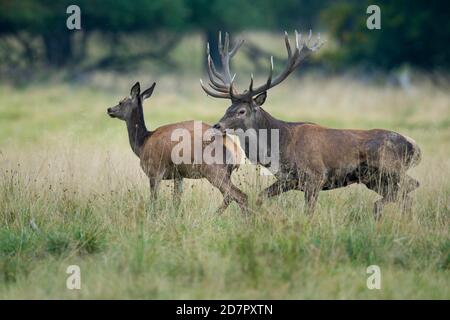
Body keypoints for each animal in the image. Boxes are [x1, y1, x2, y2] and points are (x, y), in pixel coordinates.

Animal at [107, 82, 248, 212]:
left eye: (121, 102)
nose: (109, 109)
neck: (142, 143)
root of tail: (237, 153)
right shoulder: (179, 175)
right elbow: (177, 200)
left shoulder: (155, 171)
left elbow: (153, 199)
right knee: (230, 196)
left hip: (215, 171)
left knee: (239, 195)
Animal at [201, 31, 422, 218]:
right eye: (227, 107)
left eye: (241, 111)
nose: (217, 126)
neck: (279, 147)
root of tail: (414, 147)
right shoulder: (288, 180)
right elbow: (259, 197)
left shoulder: (315, 176)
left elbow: (309, 212)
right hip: (376, 179)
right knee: (406, 198)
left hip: (389, 168)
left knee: (412, 185)